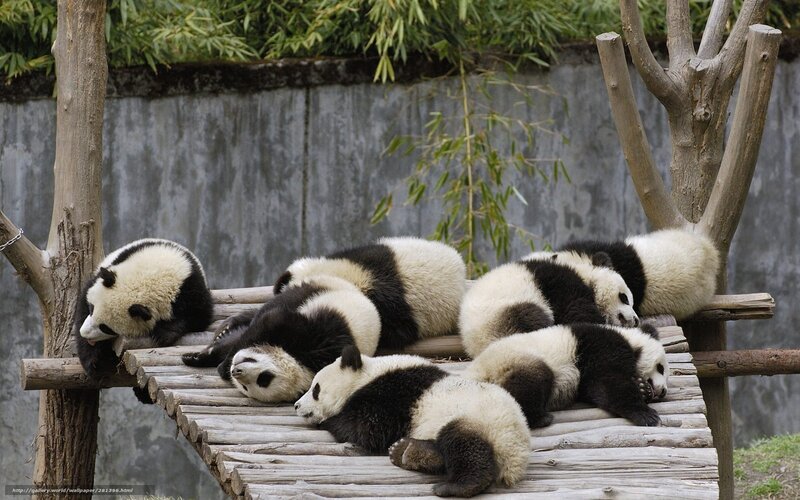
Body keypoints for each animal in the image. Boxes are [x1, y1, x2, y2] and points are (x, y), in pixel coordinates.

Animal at [75, 238, 213, 380]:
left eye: (106, 328)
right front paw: (93, 362)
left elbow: (199, 316)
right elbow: (82, 305)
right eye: (91, 309)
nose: (84, 333)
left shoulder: (190, 287)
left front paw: (164, 334)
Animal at [182, 275, 381, 402]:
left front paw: (218, 364)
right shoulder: (313, 335)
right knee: (272, 306)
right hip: (315, 291)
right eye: (265, 376)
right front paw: (214, 360)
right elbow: (269, 321)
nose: (236, 371)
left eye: (261, 381)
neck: (301, 362)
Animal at [294, 345, 530, 498]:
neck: (367, 374)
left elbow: (367, 428)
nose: (296, 406)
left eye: (316, 389)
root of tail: (516, 454)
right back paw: (408, 452)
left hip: (479, 420)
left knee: (465, 445)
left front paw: (329, 421)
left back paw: (455, 486)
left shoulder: (393, 395)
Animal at [459, 253, 638, 357]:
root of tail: (474, 345)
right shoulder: (559, 283)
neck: (583, 273)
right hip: (502, 312)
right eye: (624, 298)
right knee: (530, 319)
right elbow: (577, 311)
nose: (636, 320)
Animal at [466, 323, 668, 429]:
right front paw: (646, 415)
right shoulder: (601, 347)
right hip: (512, 362)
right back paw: (540, 418)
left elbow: (595, 390)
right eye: (660, 368)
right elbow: (609, 383)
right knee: (532, 382)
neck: (630, 340)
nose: (664, 391)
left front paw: (642, 389)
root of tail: (475, 375)